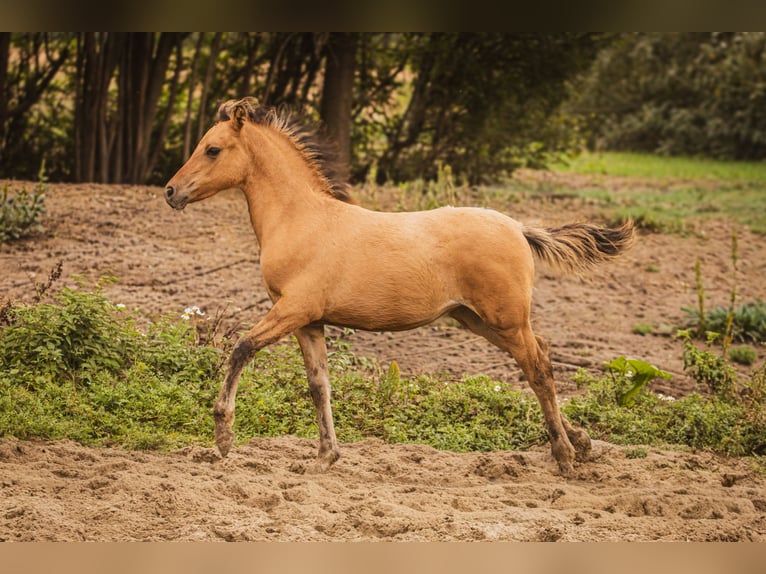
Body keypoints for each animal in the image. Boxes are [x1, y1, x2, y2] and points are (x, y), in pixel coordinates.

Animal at [164, 97, 635, 476]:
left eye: (212, 149)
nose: (170, 191)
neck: (301, 219)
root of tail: (519, 228)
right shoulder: (309, 321)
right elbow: (319, 385)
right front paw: (325, 457)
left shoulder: (293, 309)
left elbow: (241, 347)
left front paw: (223, 437)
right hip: (477, 320)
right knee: (540, 361)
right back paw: (582, 442)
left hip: (505, 319)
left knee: (538, 368)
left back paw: (565, 456)